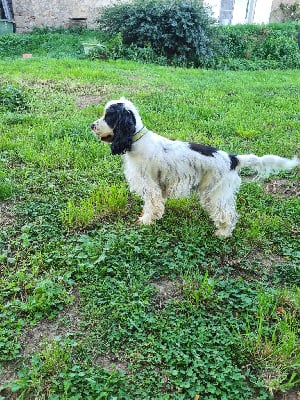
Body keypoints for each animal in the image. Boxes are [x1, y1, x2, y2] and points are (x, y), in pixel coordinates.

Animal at [90, 99, 298, 238]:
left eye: (108, 116)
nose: (92, 125)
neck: (136, 141)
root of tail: (232, 158)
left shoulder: (150, 186)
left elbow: (151, 206)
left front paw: (146, 222)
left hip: (216, 194)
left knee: (229, 215)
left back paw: (223, 233)